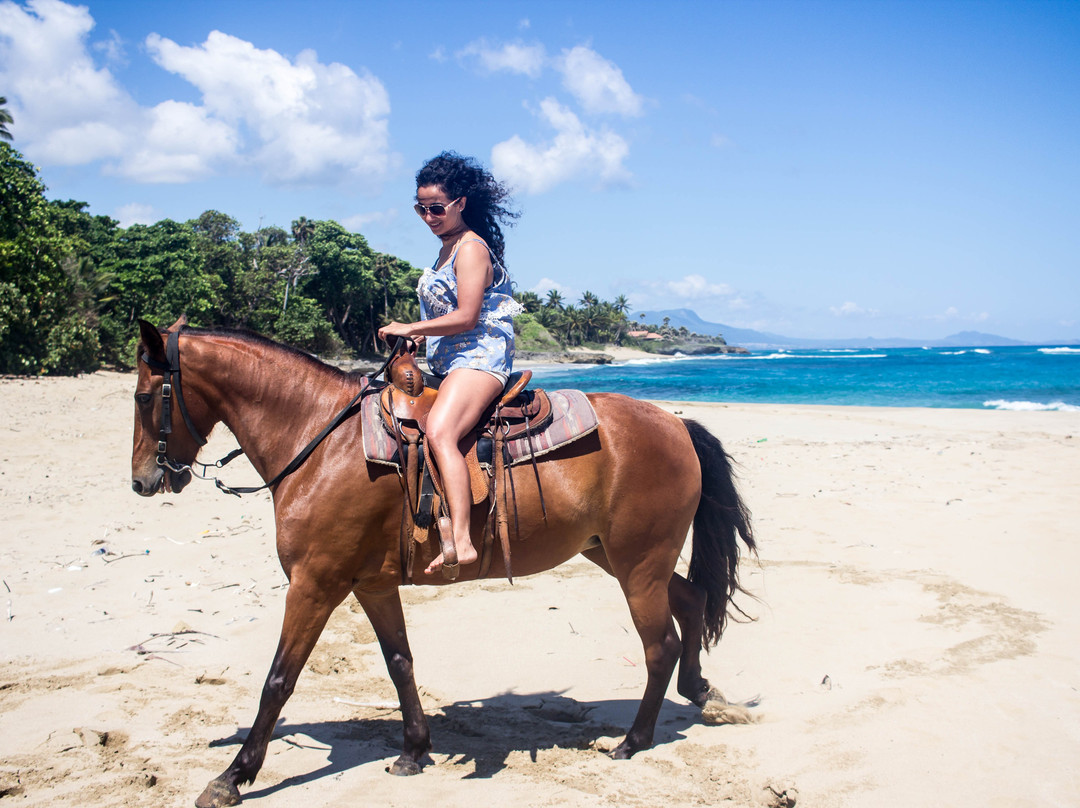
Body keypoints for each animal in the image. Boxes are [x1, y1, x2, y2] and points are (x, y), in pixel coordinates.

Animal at [130, 319, 756, 808]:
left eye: (143, 397)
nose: (142, 481)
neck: (319, 440)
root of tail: (675, 424)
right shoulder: (371, 585)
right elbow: (400, 662)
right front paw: (414, 749)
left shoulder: (315, 584)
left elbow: (278, 680)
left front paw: (234, 775)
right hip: (616, 556)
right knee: (693, 600)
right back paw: (701, 692)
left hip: (637, 565)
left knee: (660, 645)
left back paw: (634, 739)